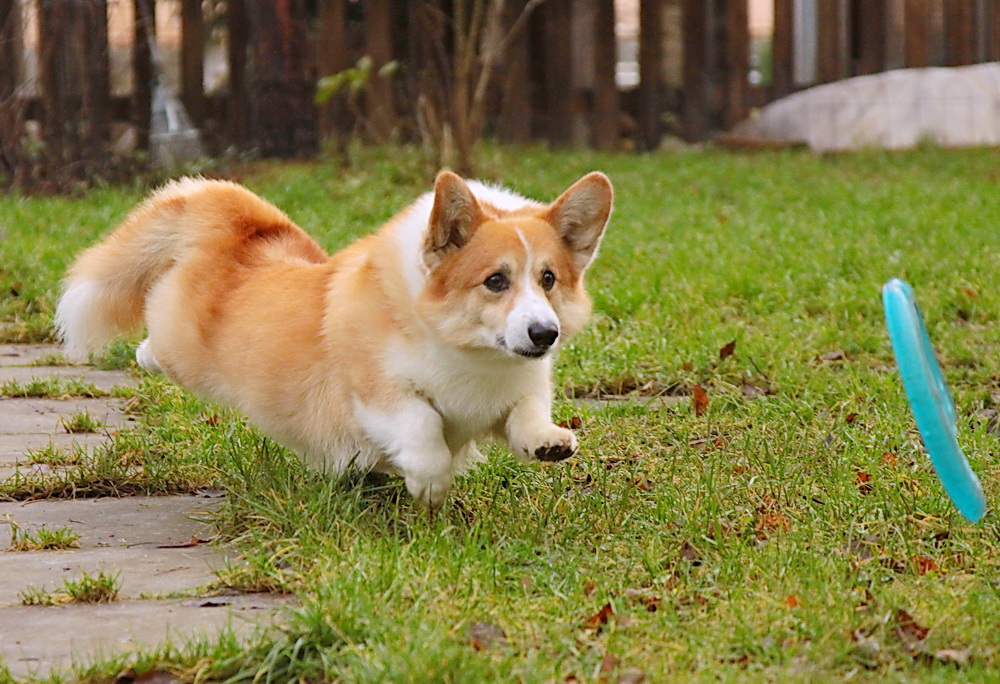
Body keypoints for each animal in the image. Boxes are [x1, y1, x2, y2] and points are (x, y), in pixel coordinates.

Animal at [60, 168, 616, 504]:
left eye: (549, 279)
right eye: (496, 280)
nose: (544, 335)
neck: (471, 354)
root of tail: (244, 234)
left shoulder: (515, 390)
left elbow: (526, 412)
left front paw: (548, 442)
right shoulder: (377, 393)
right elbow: (422, 429)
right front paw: (429, 484)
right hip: (186, 351)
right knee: (156, 341)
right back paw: (145, 355)